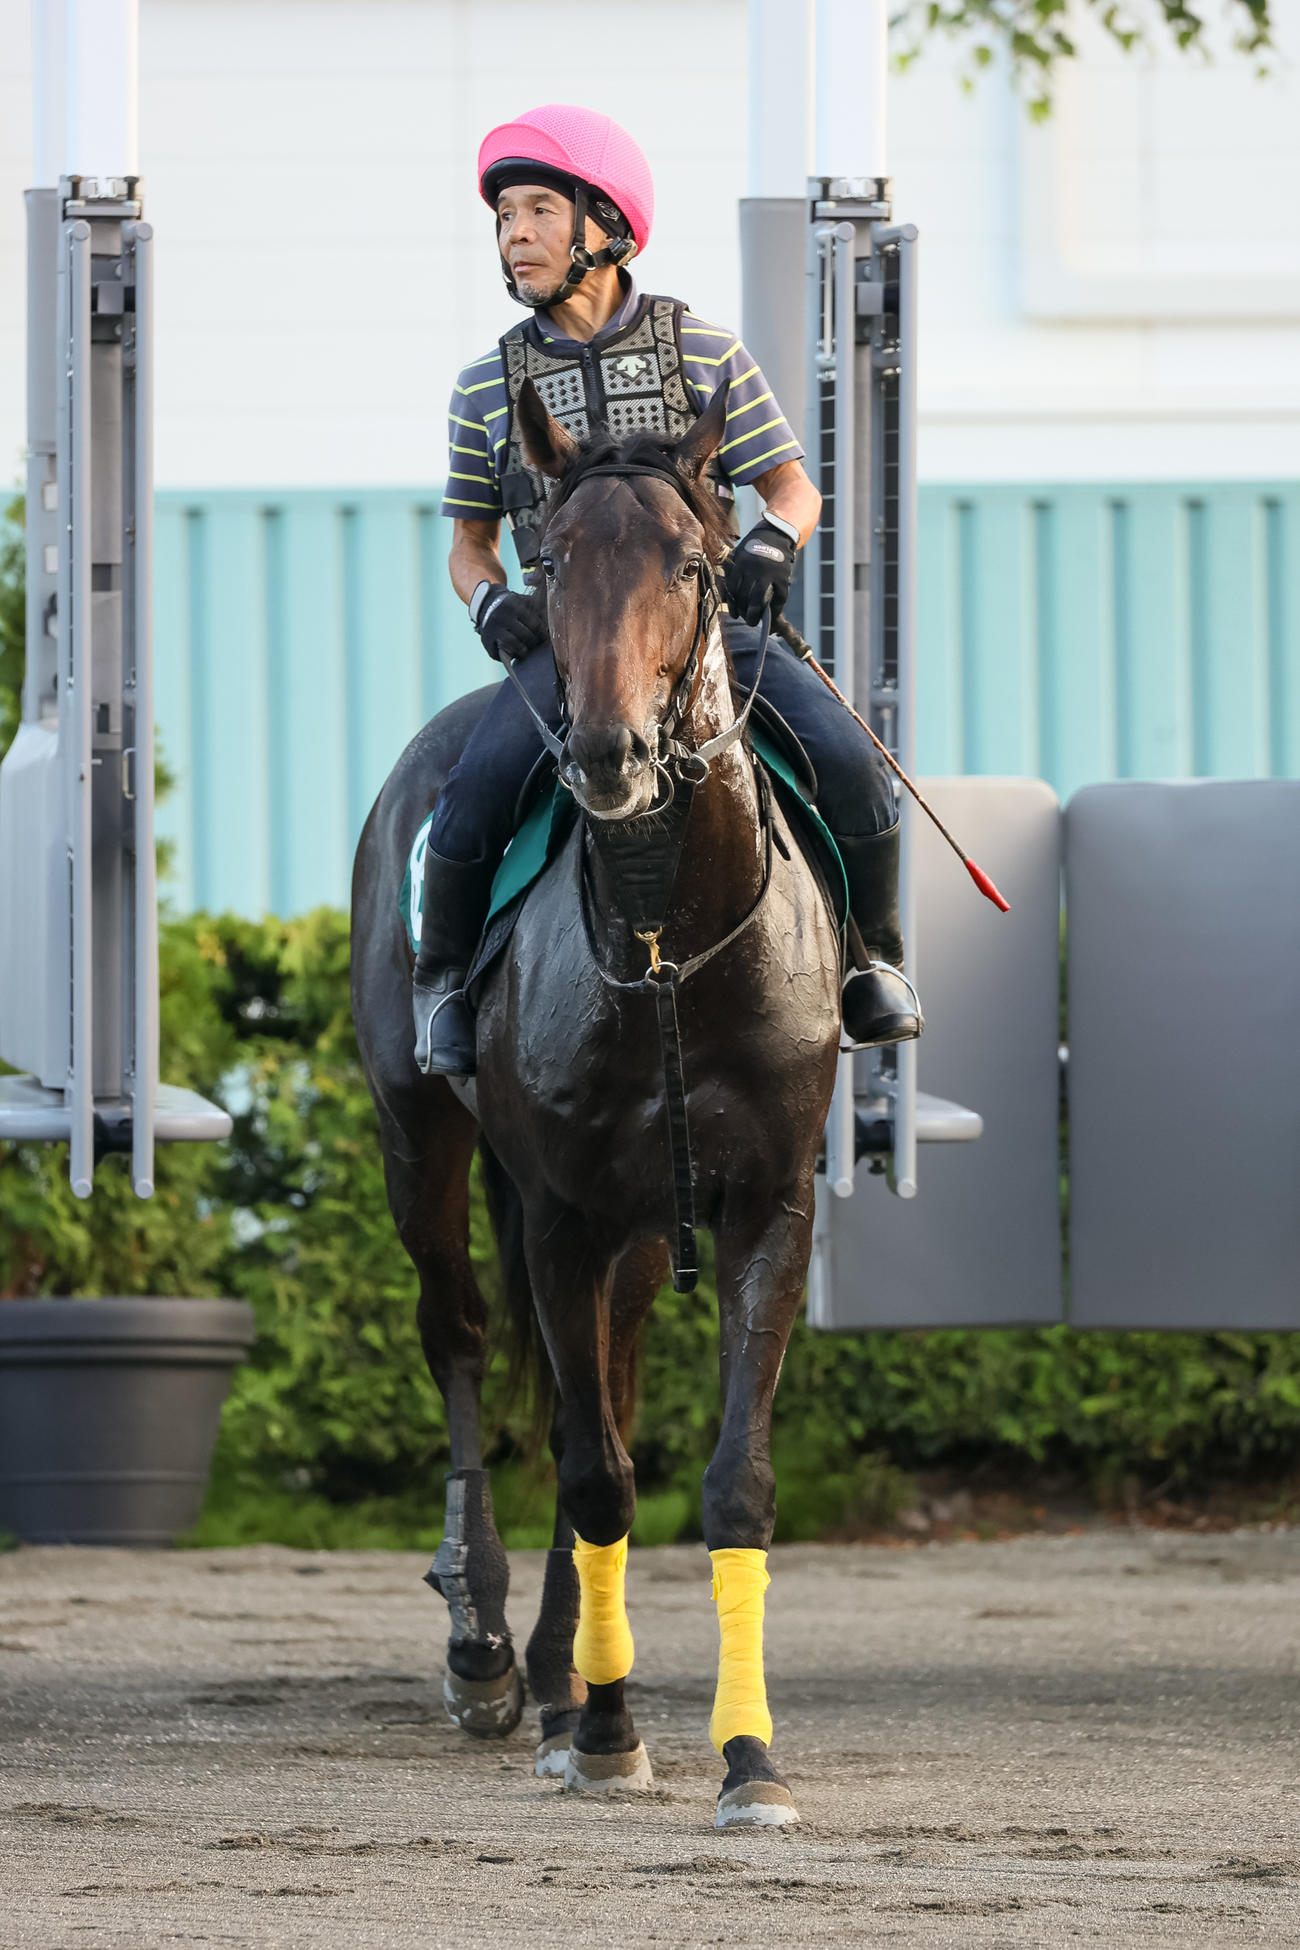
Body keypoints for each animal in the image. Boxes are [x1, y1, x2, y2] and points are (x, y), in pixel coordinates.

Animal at [350, 379, 842, 1828]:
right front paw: (612, 1727)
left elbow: (724, 1481)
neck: (667, 941)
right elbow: (593, 1466)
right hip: (422, 1146)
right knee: (461, 1337)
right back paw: (487, 1649)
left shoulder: (764, 1208)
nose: (614, 752)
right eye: (555, 564)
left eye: (691, 564)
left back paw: (563, 1675)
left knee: (603, 1383)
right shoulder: (562, 1212)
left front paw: (744, 1758)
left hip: (627, 1234)